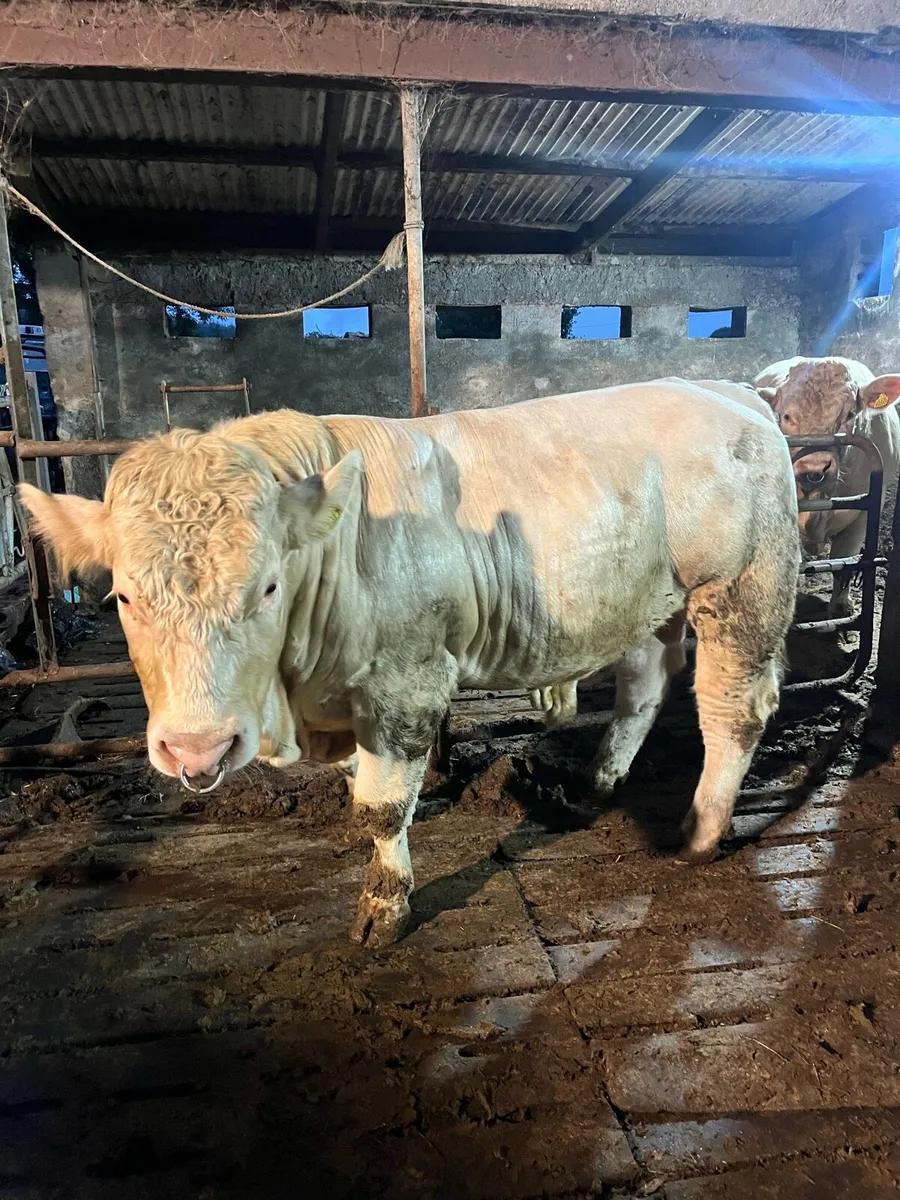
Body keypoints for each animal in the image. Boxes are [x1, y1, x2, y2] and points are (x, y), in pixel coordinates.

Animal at [20, 381, 800, 948]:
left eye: (267, 586)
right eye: (123, 594)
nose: (196, 749)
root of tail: (726, 388)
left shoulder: (409, 680)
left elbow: (384, 804)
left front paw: (384, 904)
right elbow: (356, 782)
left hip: (741, 589)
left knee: (733, 707)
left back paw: (700, 833)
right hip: (648, 599)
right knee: (644, 685)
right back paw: (594, 785)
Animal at [754, 356, 900, 618]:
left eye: (850, 414)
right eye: (786, 416)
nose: (814, 469)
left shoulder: (863, 515)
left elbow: (844, 561)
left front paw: (841, 607)